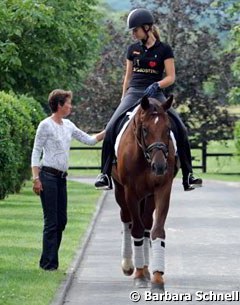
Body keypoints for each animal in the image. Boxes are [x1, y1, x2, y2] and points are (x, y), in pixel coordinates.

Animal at [111, 94, 177, 290]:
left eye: (168, 129)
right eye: (146, 130)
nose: (160, 166)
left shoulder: (163, 189)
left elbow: (157, 231)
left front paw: (157, 278)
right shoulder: (130, 192)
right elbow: (137, 231)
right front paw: (139, 275)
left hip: (149, 196)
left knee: (147, 222)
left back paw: (147, 270)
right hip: (120, 192)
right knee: (127, 220)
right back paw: (128, 265)